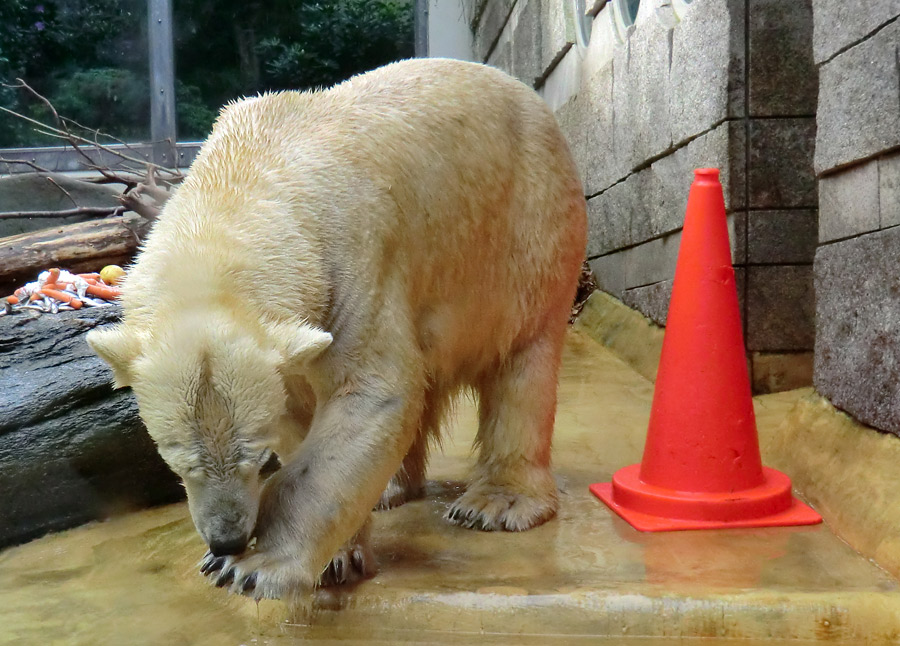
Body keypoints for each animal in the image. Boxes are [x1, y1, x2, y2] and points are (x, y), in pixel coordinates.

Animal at [88, 57, 588, 604]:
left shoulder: (352, 257)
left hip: (527, 233)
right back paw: (391, 490)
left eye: (257, 457)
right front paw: (337, 556)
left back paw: (497, 502)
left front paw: (256, 566)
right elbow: (307, 411)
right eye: (176, 459)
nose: (227, 539)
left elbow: (370, 392)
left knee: (522, 360)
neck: (245, 176)